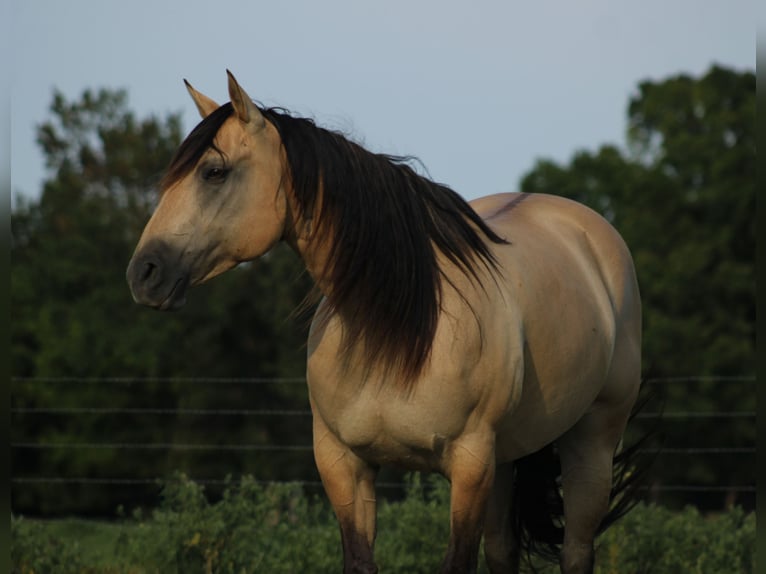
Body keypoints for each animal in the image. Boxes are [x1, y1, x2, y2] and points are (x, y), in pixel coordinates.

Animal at [126, 71, 643, 574]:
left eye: (214, 172)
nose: (143, 273)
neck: (398, 327)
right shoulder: (343, 465)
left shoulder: (470, 464)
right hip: (506, 460)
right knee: (503, 553)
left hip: (590, 443)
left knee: (576, 550)